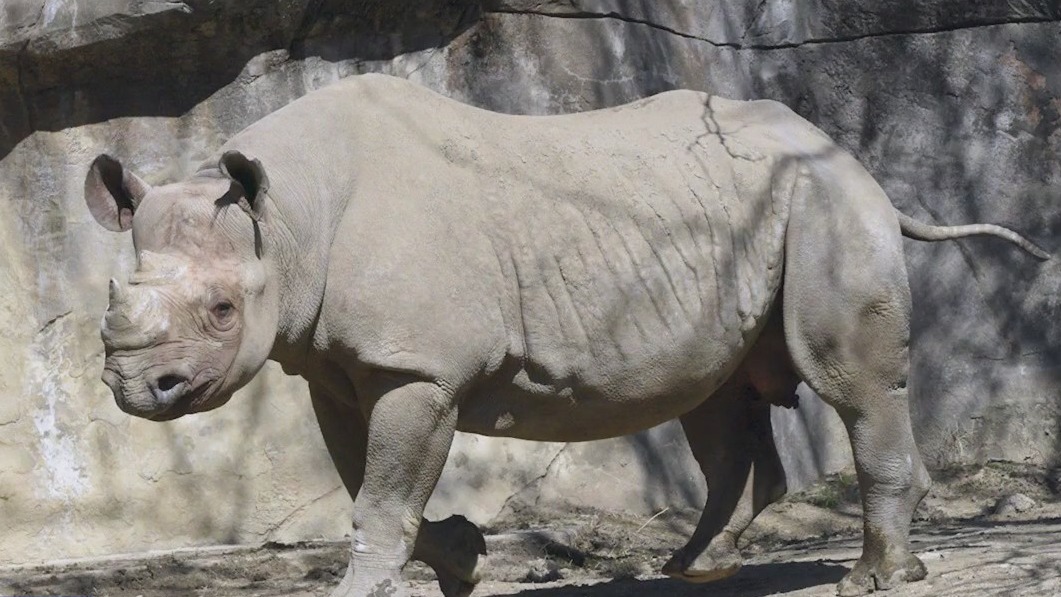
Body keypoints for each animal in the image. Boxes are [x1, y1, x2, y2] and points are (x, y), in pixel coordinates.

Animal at [84, 73, 1048, 597]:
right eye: (114, 297)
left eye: (222, 311)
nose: (136, 389)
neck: (287, 219)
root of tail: (855, 160)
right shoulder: (337, 365)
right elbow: (368, 483)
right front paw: (464, 557)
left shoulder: (413, 368)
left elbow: (380, 494)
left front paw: (371, 583)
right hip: (752, 213)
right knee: (718, 393)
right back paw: (694, 566)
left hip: (825, 204)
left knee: (849, 384)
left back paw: (873, 577)